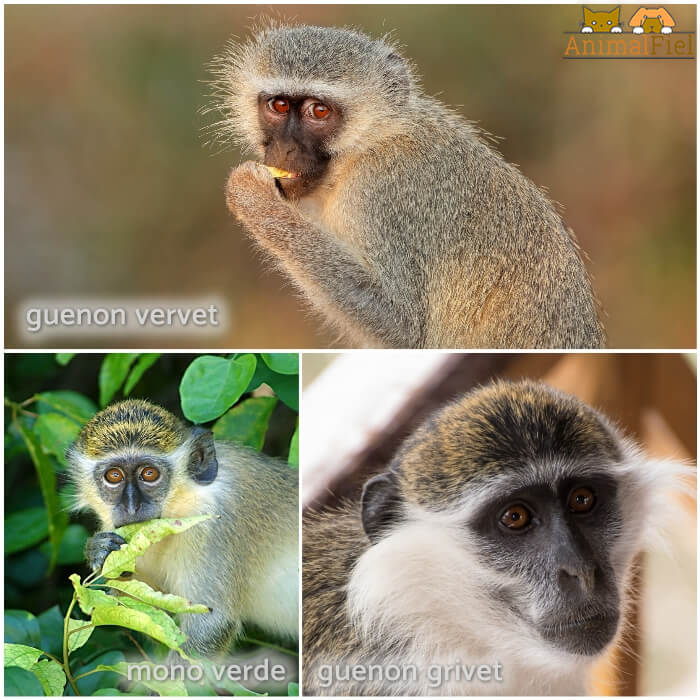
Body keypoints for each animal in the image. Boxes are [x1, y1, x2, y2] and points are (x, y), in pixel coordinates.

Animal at [64, 400, 296, 656]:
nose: (132, 507)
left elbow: (207, 626)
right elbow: (158, 620)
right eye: (114, 476)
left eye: (149, 474)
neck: (185, 499)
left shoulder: (212, 522)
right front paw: (98, 549)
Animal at [216, 23, 604, 350]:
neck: (366, 146)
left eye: (319, 111)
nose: (285, 148)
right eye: (279, 105)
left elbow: (404, 328)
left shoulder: (384, 196)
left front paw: (253, 198)